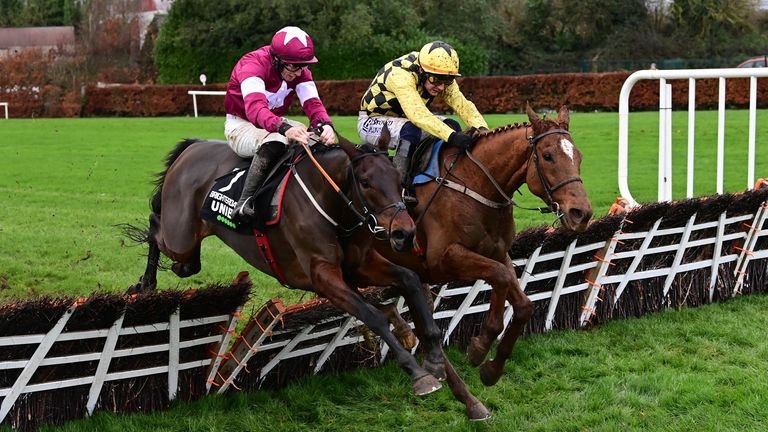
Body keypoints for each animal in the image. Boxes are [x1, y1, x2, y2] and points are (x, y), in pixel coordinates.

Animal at [129, 137, 450, 396]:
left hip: (187, 253)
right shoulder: (323, 276)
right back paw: (145, 283)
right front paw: (417, 372)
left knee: (182, 261)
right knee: (155, 225)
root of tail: (192, 147)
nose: (404, 233)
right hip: (179, 237)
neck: (330, 201)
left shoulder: (359, 265)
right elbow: (372, 316)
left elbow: (409, 280)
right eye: (366, 182)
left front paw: (434, 356)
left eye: (399, 180)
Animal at [378, 104, 592, 392]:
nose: (581, 213)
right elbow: (499, 278)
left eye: (578, 156)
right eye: (548, 156)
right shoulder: (443, 260)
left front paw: (492, 368)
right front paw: (479, 347)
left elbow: (523, 305)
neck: (474, 184)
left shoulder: (499, 254)